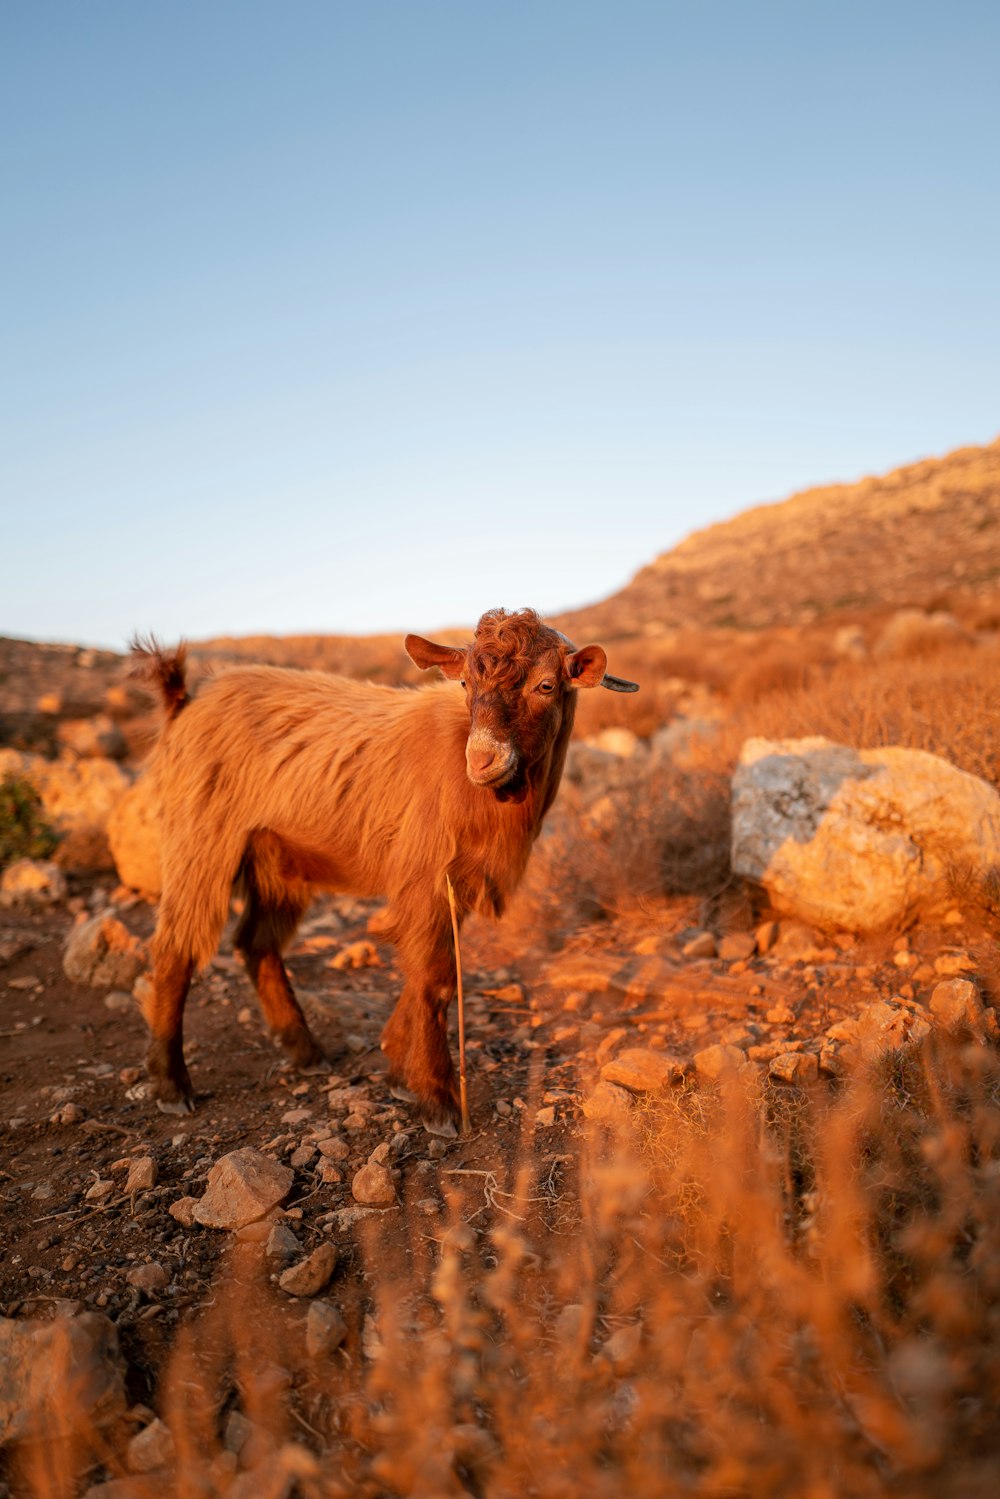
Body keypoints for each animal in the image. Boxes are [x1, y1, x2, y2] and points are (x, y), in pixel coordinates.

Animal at [131, 602, 641, 1127]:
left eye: (545, 685)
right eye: (465, 683)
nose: (482, 760)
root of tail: (187, 700)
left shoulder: (456, 882)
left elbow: (425, 972)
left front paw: (397, 1065)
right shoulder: (428, 875)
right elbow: (436, 979)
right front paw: (437, 1099)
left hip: (275, 859)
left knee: (257, 943)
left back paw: (305, 1051)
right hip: (201, 838)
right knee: (174, 949)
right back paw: (172, 1084)